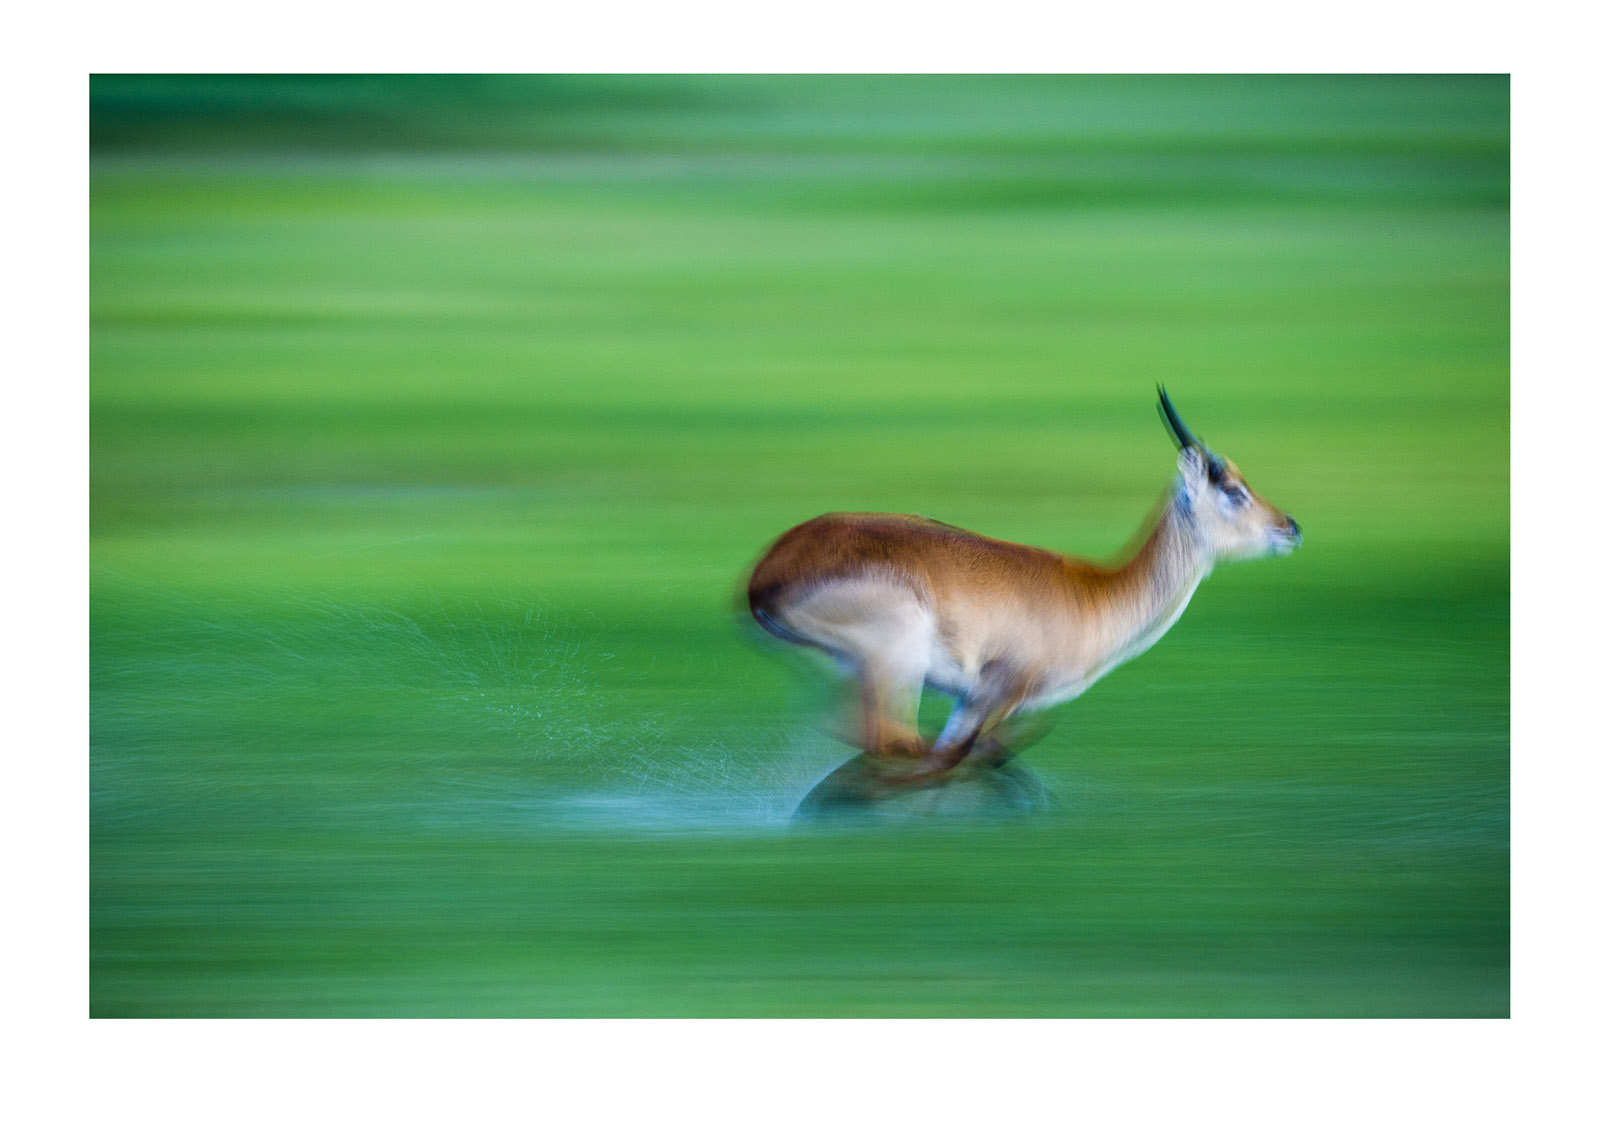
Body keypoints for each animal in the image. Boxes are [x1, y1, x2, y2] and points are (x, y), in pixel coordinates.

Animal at [748, 385, 1299, 783]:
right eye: (1232, 488)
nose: (1290, 527)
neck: (1093, 596)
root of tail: (765, 575)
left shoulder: (970, 701)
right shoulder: (998, 691)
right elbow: (969, 752)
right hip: (897, 660)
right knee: (896, 743)